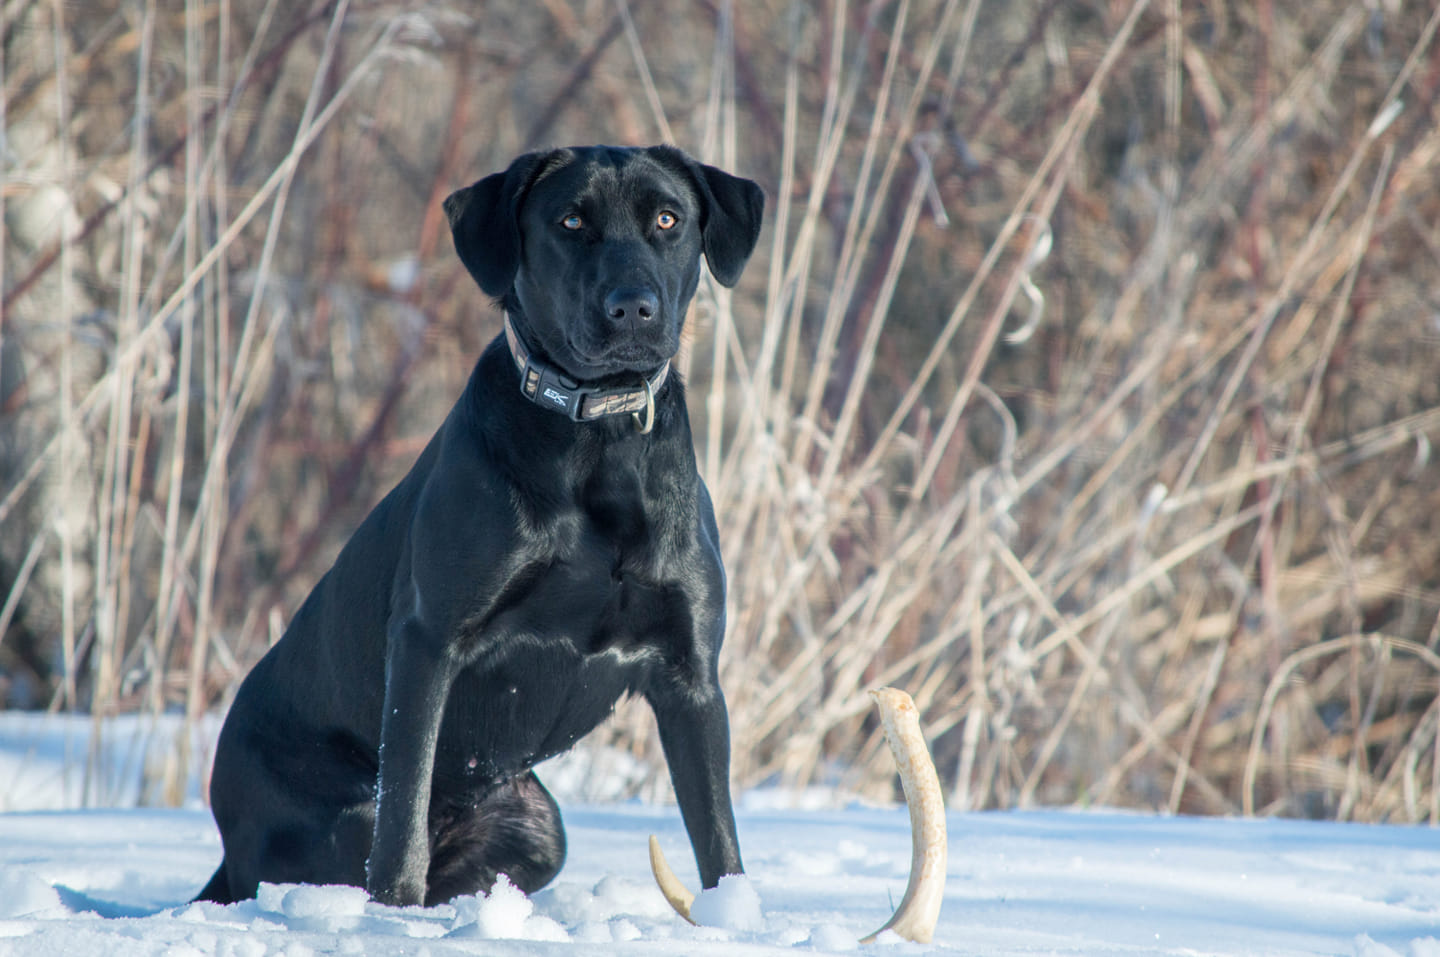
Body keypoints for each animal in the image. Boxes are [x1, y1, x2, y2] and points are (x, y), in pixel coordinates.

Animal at [201, 145, 771, 909]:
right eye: (570, 220)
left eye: (667, 219)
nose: (632, 307)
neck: (600, 437)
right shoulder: (428, 640)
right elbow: (403, 816)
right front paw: (393, 916)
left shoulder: (691, 675)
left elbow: (717, 834)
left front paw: (733, 915)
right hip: (336, 805)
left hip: (535, 826)